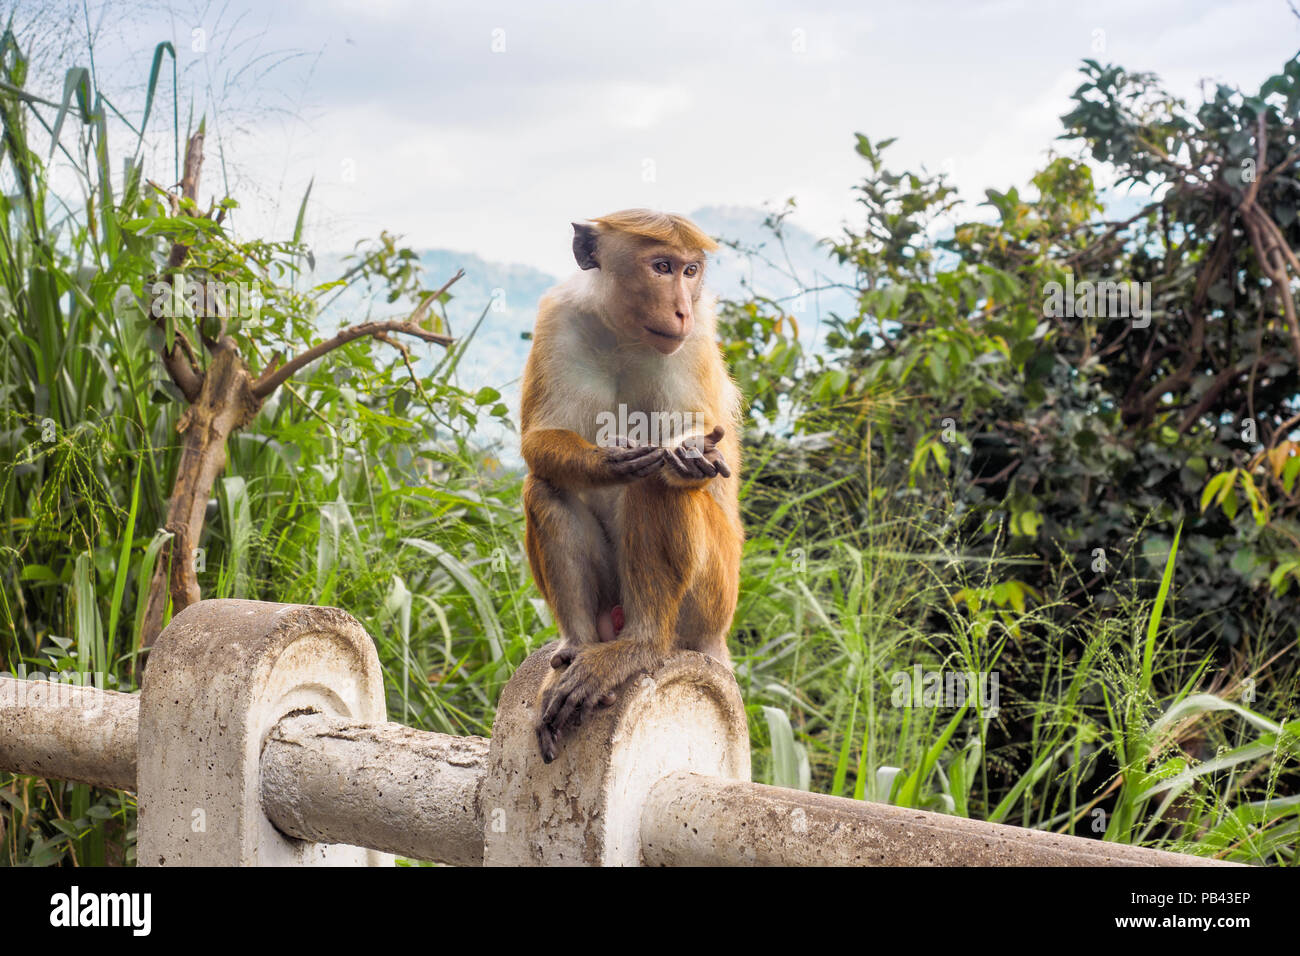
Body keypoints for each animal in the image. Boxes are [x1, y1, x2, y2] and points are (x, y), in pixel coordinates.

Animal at [520, 209, 744, 763]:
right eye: (661, 267)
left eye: (691, 270)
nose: (682, 310)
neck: (626, 333)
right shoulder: (558, 317)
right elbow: (538, 441)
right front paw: (606, 461)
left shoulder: (695, 343)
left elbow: (691, 458)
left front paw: (689, 457)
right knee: (546, 485)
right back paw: (577, 645)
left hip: (712, 600)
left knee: (662, 484)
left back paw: (641, 646)